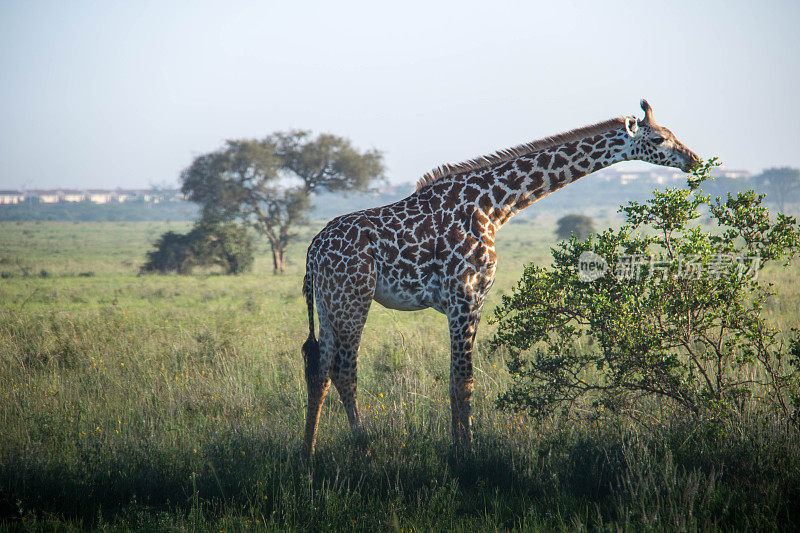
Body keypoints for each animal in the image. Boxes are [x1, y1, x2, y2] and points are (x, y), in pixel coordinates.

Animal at [300, 97, 700, 456]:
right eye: (659, 139)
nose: (693, 160)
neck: (494, 206)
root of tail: (313, 251)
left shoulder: (468, 301)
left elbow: (456, 379)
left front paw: (461, 446)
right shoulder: (465, 296)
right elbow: (464, 380)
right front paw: (466, 453)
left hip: (328, 303)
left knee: (319, 369)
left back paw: (308, 451)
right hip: (353, 299)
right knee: (344, 371)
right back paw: (361, 443)